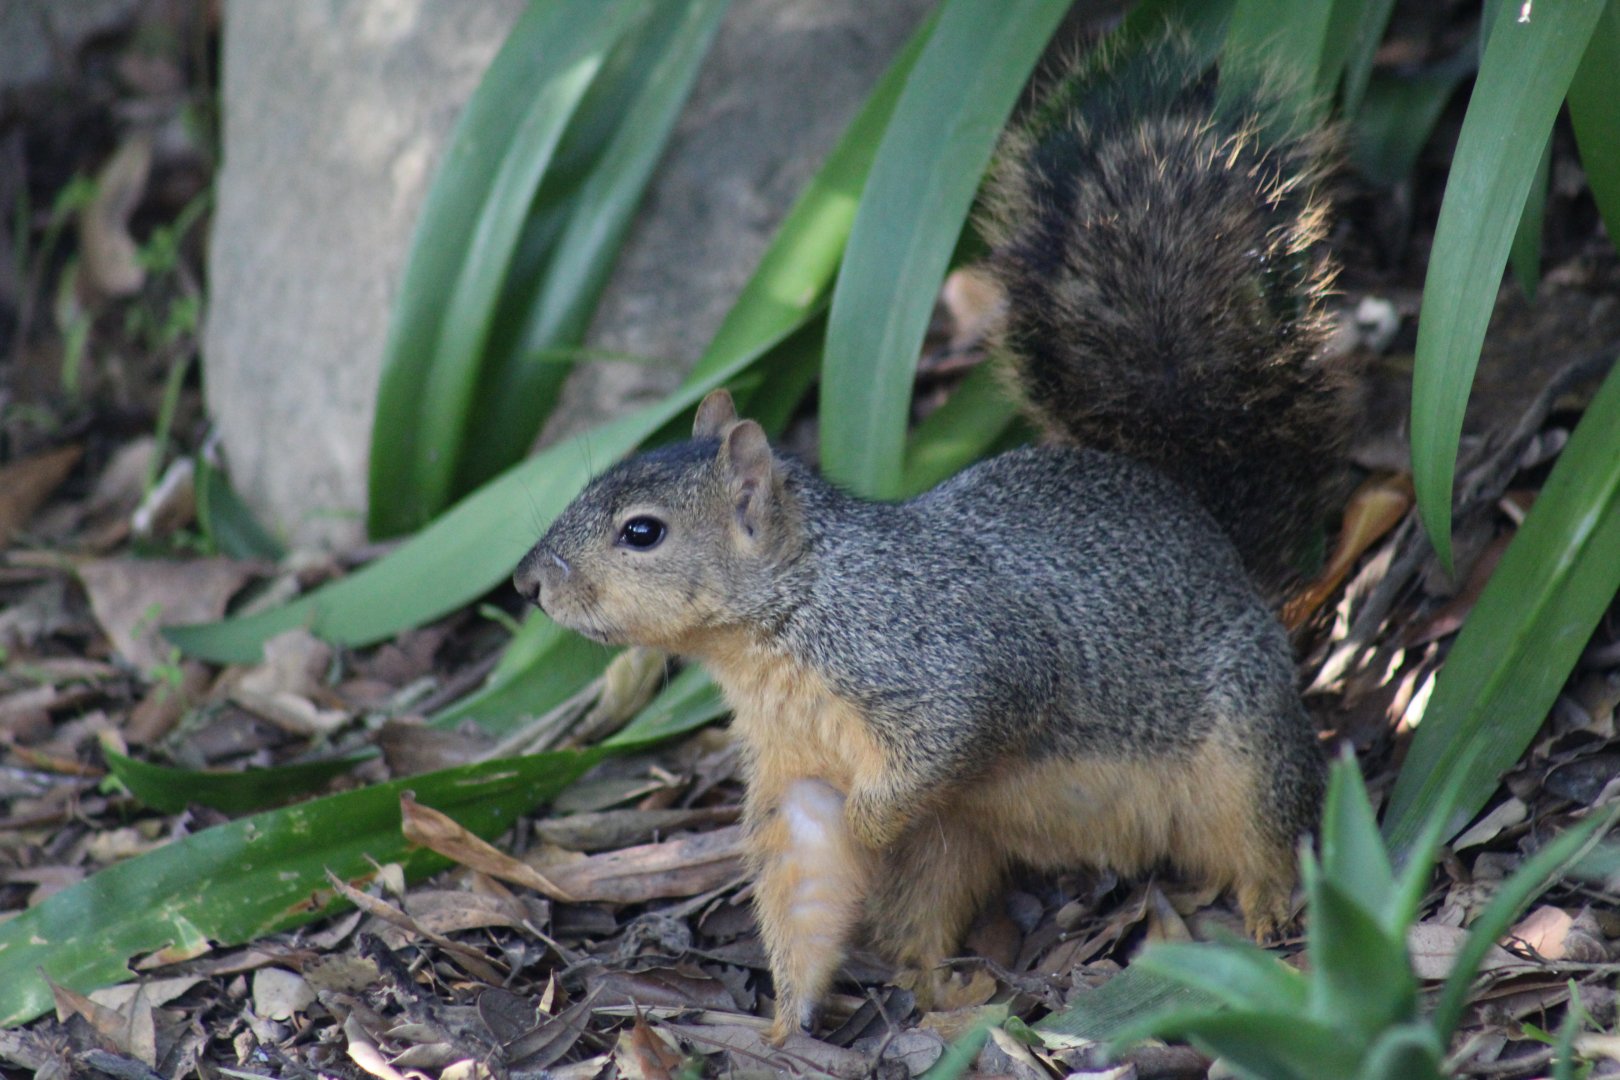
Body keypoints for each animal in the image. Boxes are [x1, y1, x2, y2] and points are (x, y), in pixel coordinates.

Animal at [514, 33, 1346, 1042]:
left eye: (642, 532)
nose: (528, 583)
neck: (792, 614)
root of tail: (1213, 533)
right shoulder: (795, 772)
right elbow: (804, 876)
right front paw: (784, 1026)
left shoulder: (948, 665)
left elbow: (954, 733)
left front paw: (867, 826)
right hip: (957, 841)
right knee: (925, 910)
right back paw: (944, 994)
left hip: (1246, 739)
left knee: (1272, 828)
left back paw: (1265, 911)